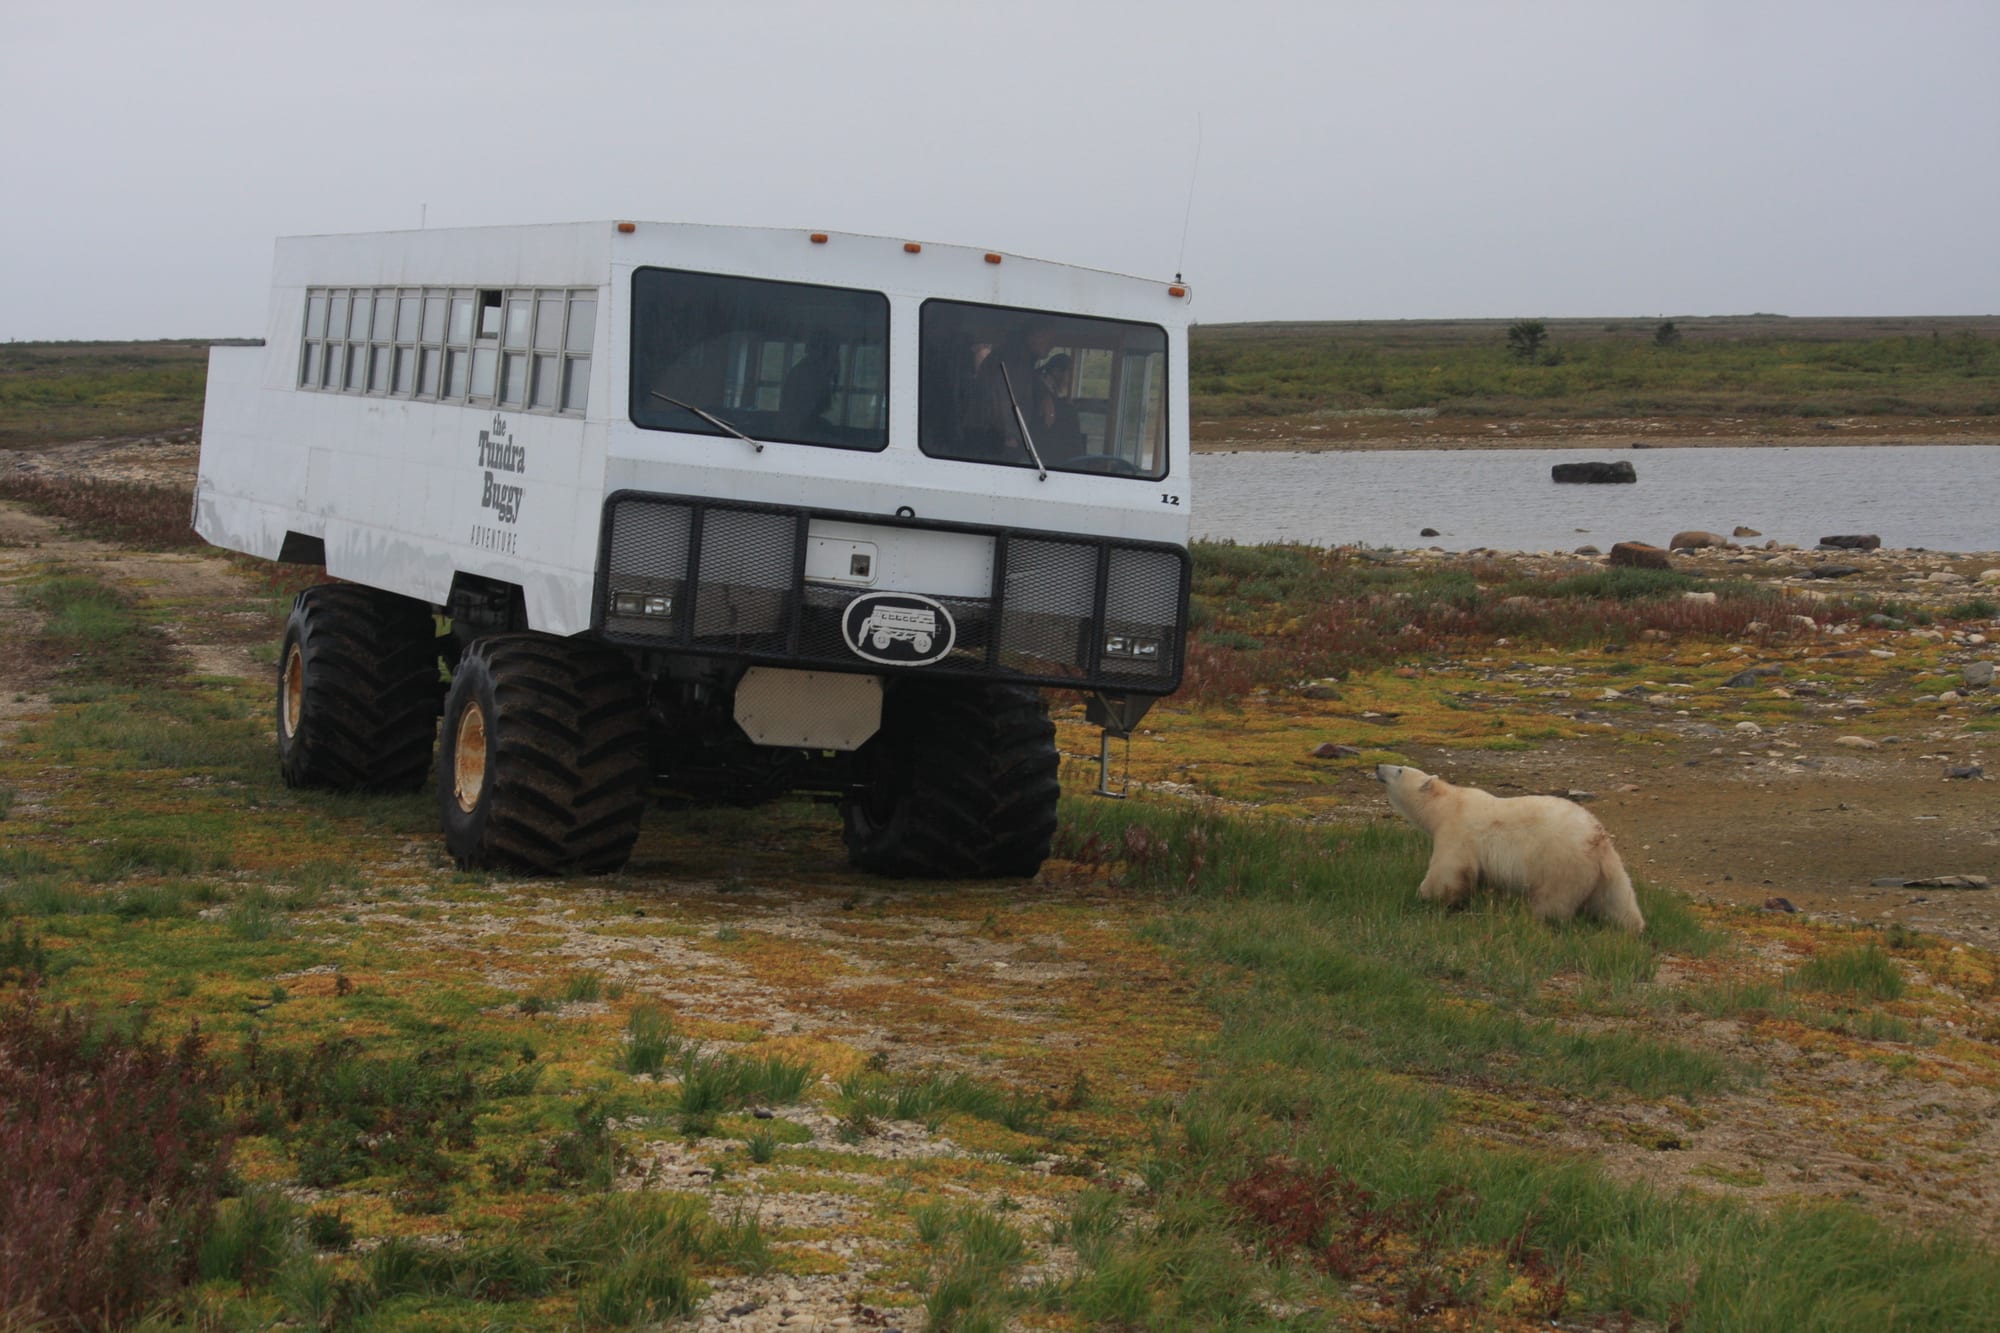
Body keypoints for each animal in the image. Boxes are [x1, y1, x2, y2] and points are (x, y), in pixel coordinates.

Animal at [1373, 764, 1645, 932]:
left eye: (1399, 769)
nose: (1377, 766)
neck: (1448, 805)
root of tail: (1599, 840)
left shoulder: (1458, 833)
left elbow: (1447, 871)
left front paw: (1424, 895)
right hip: (1604, 873)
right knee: (1619, 900)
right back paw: (1634, 926)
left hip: (1562, 864)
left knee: (1553, 900)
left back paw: (1536, 918)